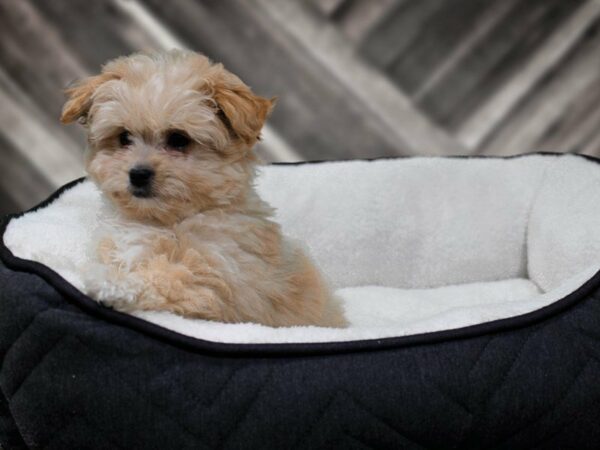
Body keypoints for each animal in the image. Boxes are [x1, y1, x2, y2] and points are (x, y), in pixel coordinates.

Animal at [61, 50, 346, 326]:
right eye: (124, 137)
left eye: (179, 139)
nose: (138, 174)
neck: (163, 221)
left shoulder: (220, 276)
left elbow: (172, 276)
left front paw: (114, 284)